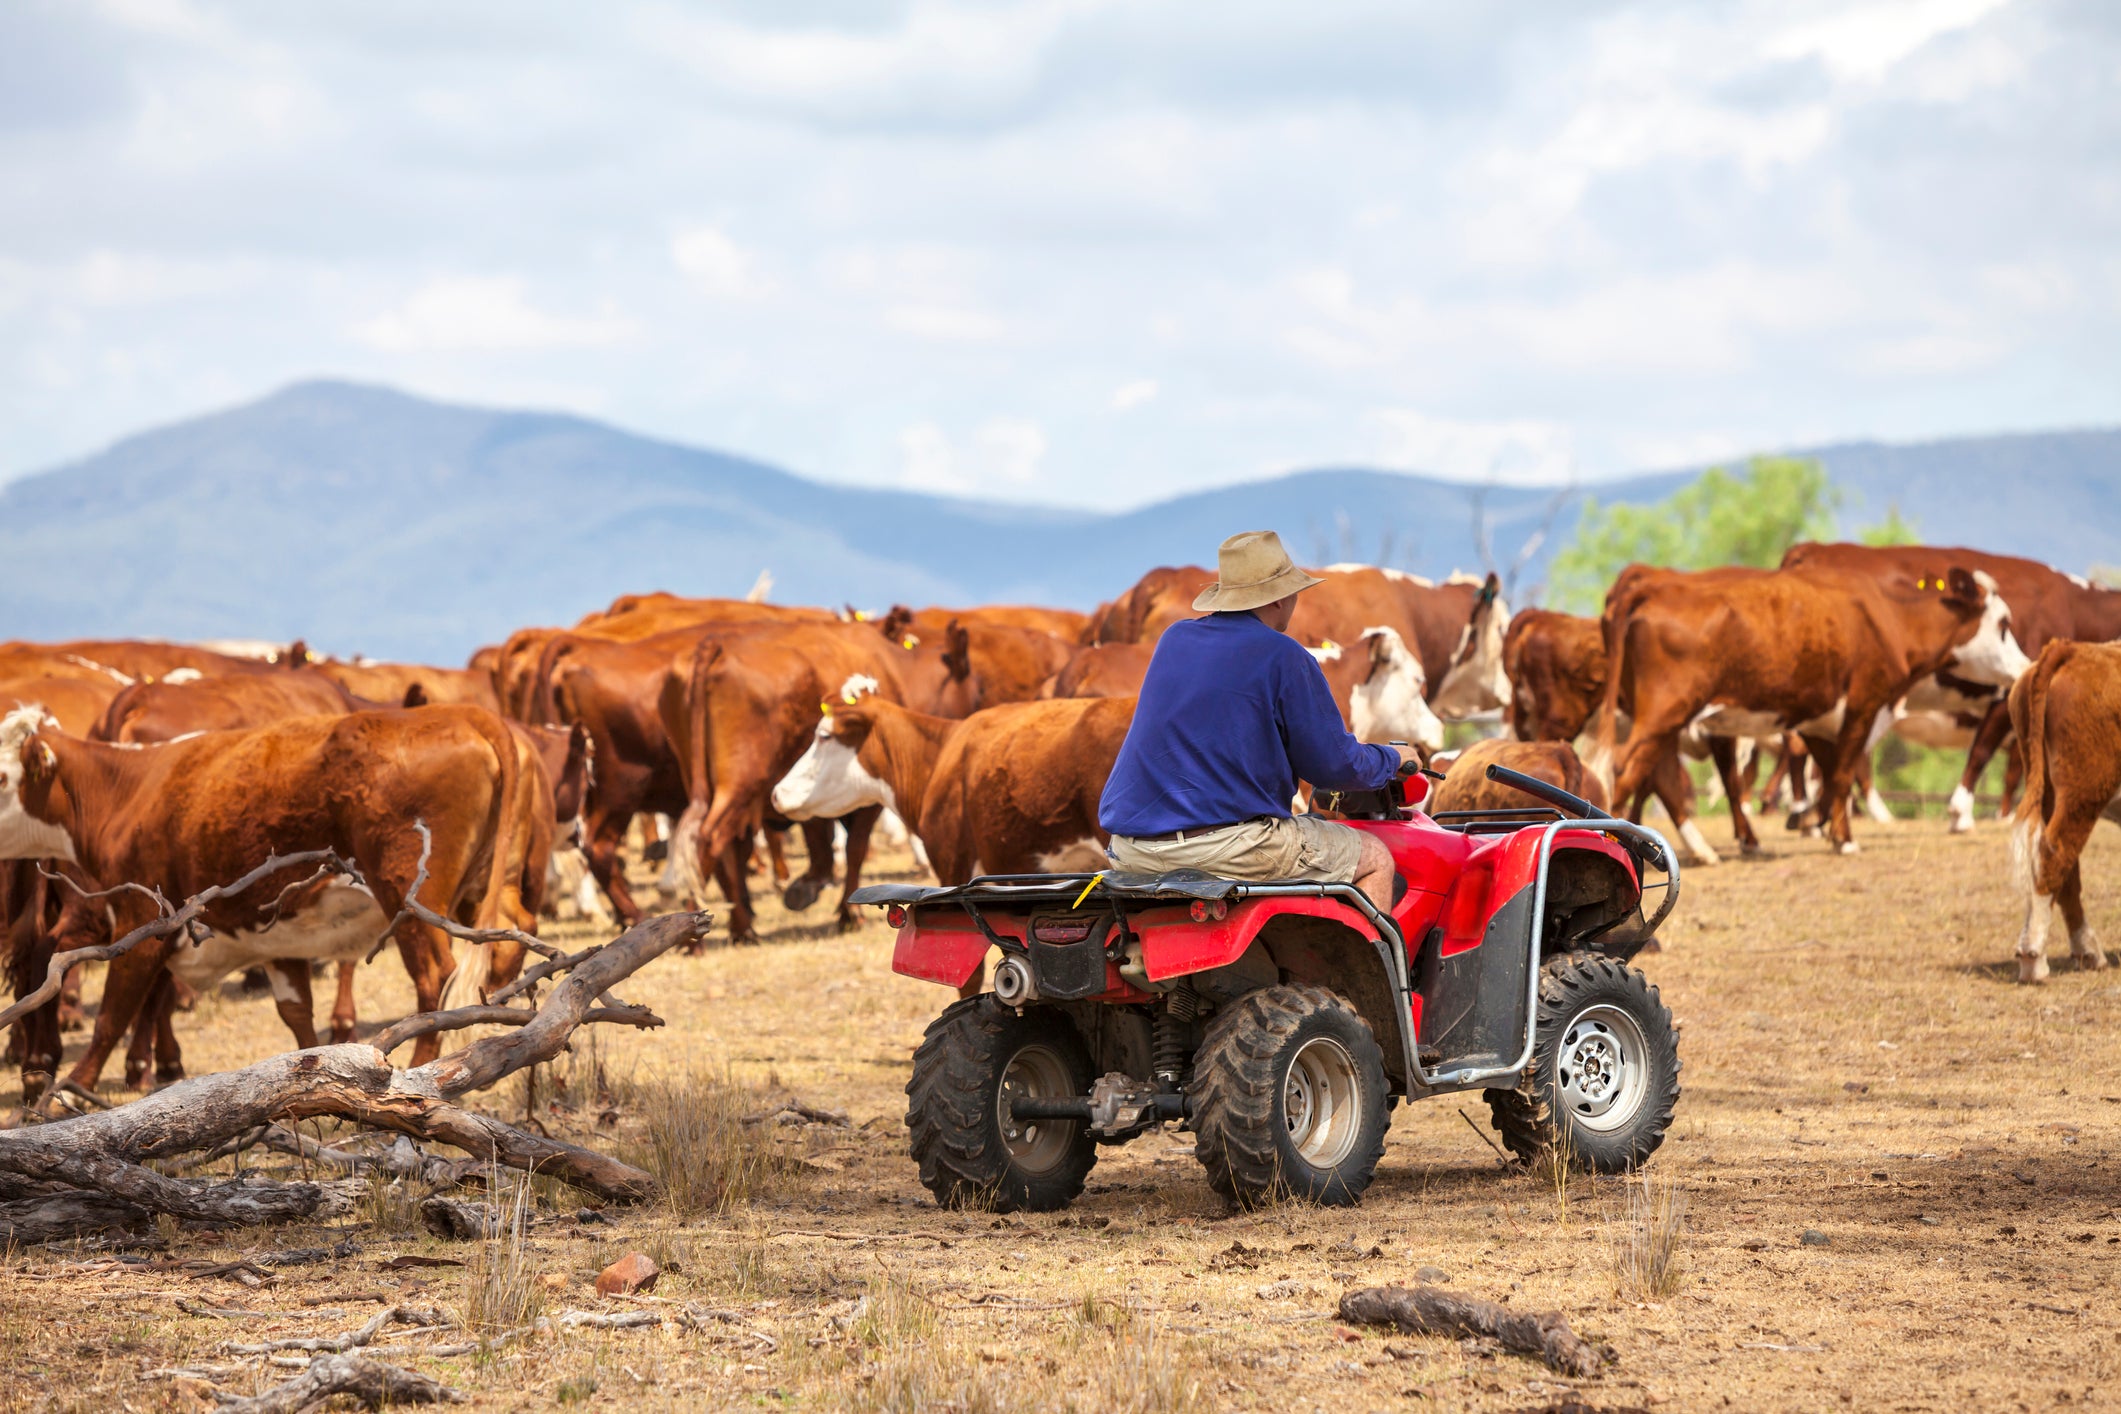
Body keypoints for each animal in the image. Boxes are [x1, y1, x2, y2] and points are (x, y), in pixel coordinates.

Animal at [0, 703, 538, 1093]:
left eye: (3, 777)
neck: (130, 790)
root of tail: (465, 712)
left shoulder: (142, 926)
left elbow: (114, 1013)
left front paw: (70, 1091)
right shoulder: (278, 940)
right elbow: (296, 1013)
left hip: (409, 899)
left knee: (436, 979)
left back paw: (423, 1070)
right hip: (488, 886)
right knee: (513, 934)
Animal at [2002, 640, 2121, 983]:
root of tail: (2074, 649)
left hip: (2050, 791)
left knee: (2059, 862)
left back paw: (2088, 951)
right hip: (2084, 790)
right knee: (2053, 854)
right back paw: (2034, 958)